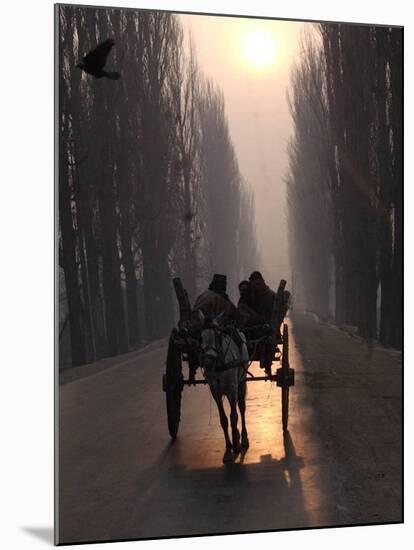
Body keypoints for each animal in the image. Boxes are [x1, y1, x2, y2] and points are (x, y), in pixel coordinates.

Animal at [199, 312, 251, 464]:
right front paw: (228, 449)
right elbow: (223, 420)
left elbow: (234, 416)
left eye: (218, 335)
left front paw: (236, 444)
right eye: (201, 336)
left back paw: (243, 438)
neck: (219, 364)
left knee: (241, 408)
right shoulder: (215, 392)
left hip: (241, 381)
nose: (208, 362)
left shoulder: (232, 389)